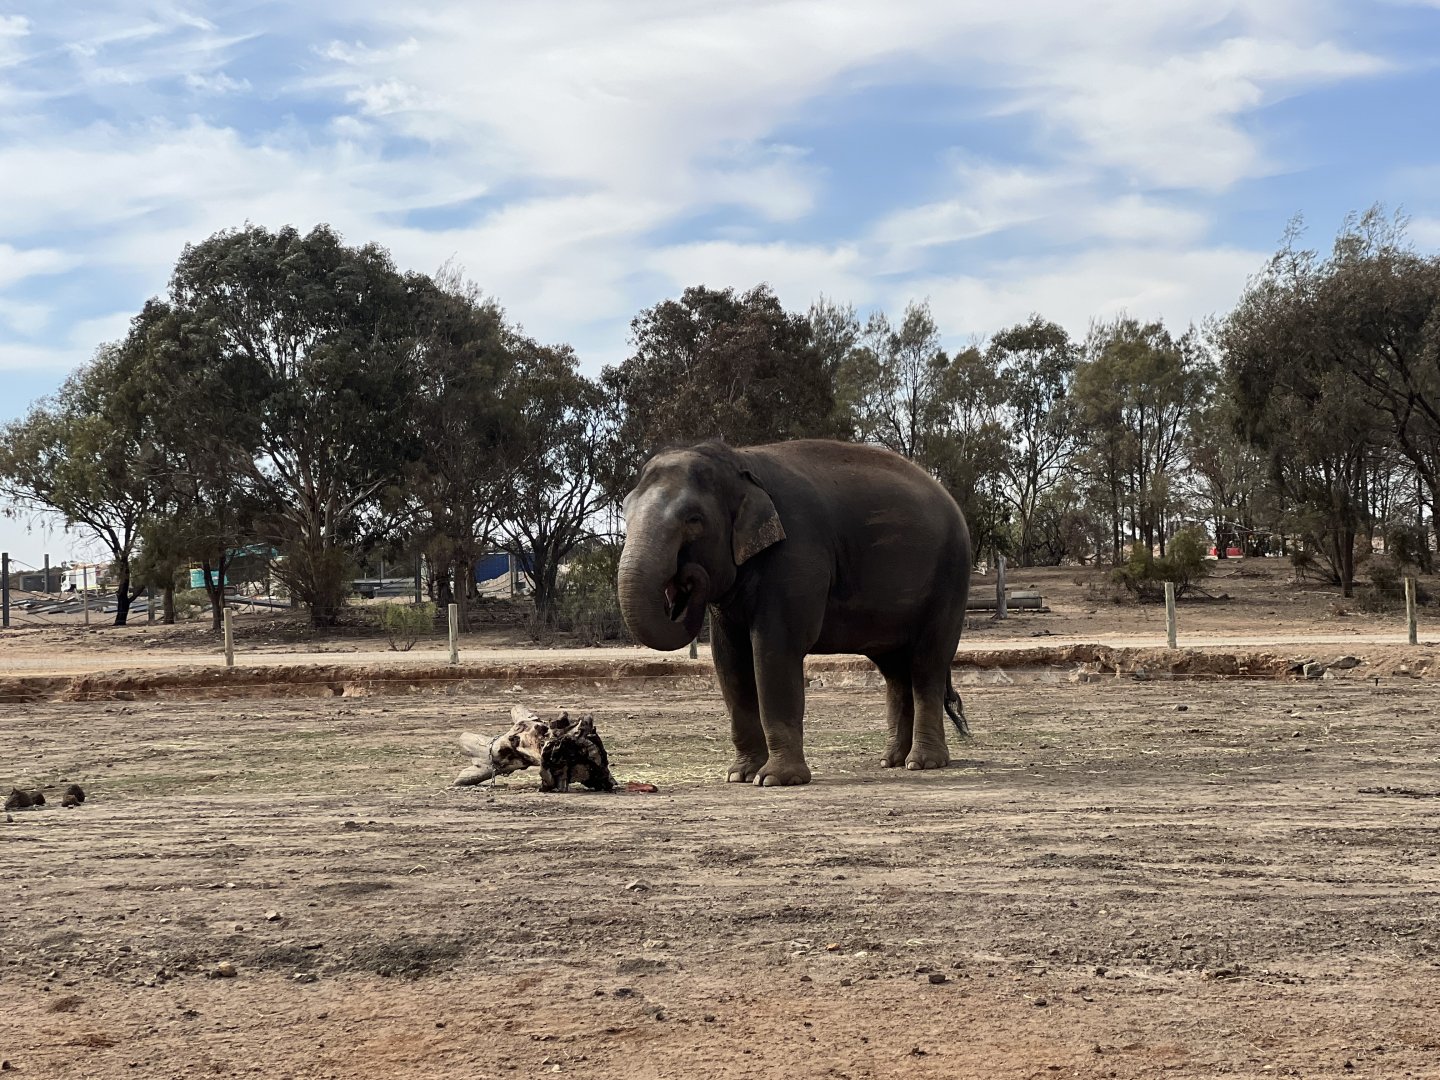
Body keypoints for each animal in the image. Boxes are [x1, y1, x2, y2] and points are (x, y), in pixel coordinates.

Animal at [617, 438, 972, 787]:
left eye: (693, 519)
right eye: (625, 512)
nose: (684, 579)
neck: (738, 462)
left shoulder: (796, 555)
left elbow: (775, 650)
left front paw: (775, 779)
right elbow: (729, 660)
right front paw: (740, 775)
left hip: (950, 581)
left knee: (926, 663)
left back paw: (923, 763)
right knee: (895, 671)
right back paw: (892, 760)